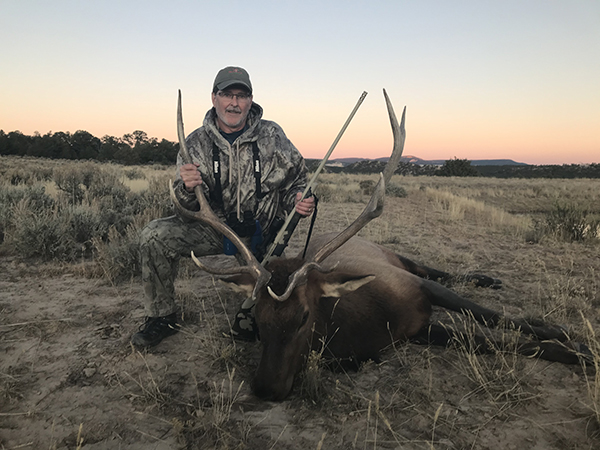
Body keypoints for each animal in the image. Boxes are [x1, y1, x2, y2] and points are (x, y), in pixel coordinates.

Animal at [169, 91, 584, 400]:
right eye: (257, 318)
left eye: (304, 316)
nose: (265, 389)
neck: (371, 321)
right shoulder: (416, 330)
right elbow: (483, 341)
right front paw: (567, 347)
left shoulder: (415, 287)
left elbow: (494, 317)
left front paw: (566, 340)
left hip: (399, 258)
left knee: (438, 270)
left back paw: (489, 278)